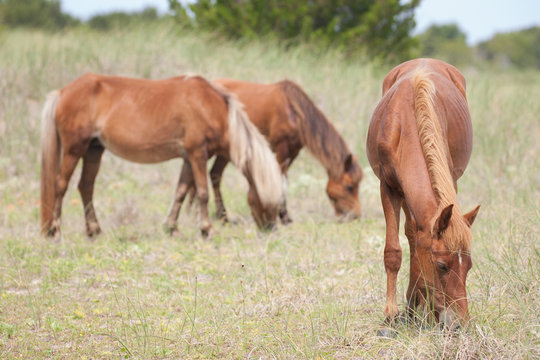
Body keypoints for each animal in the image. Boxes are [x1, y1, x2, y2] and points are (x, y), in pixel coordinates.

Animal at [40, 73, 284, 240]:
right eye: (267, 198)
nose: (271, 229)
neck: (211, 108)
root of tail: (63, 92)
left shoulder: (188, 158)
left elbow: (180, 192)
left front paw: (172, 228)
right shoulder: (197, 153)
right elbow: (202, 193)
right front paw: (206, 229)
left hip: (93, 150)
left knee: (86, 187)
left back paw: (94, 231)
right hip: (74, 150)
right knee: (60, 185)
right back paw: (56, 230)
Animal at [181, 79, 362, 225]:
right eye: (349, 187)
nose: (355, 216)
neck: (295, 111)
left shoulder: (293, 152)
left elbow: (284, 179)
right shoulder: (282, 148)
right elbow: (280, 179)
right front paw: (283, 216)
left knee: (214, 174)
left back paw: (217, 215)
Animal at [368, 58, 480, 330]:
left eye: (469, 266)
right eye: (442, 266)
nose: (459, 324)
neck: (407, 124)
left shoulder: (449, 180)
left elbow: (419, 245)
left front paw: (423, 307)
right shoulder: (387, 188)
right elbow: (393, 251)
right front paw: (390, 315)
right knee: (411, 235)